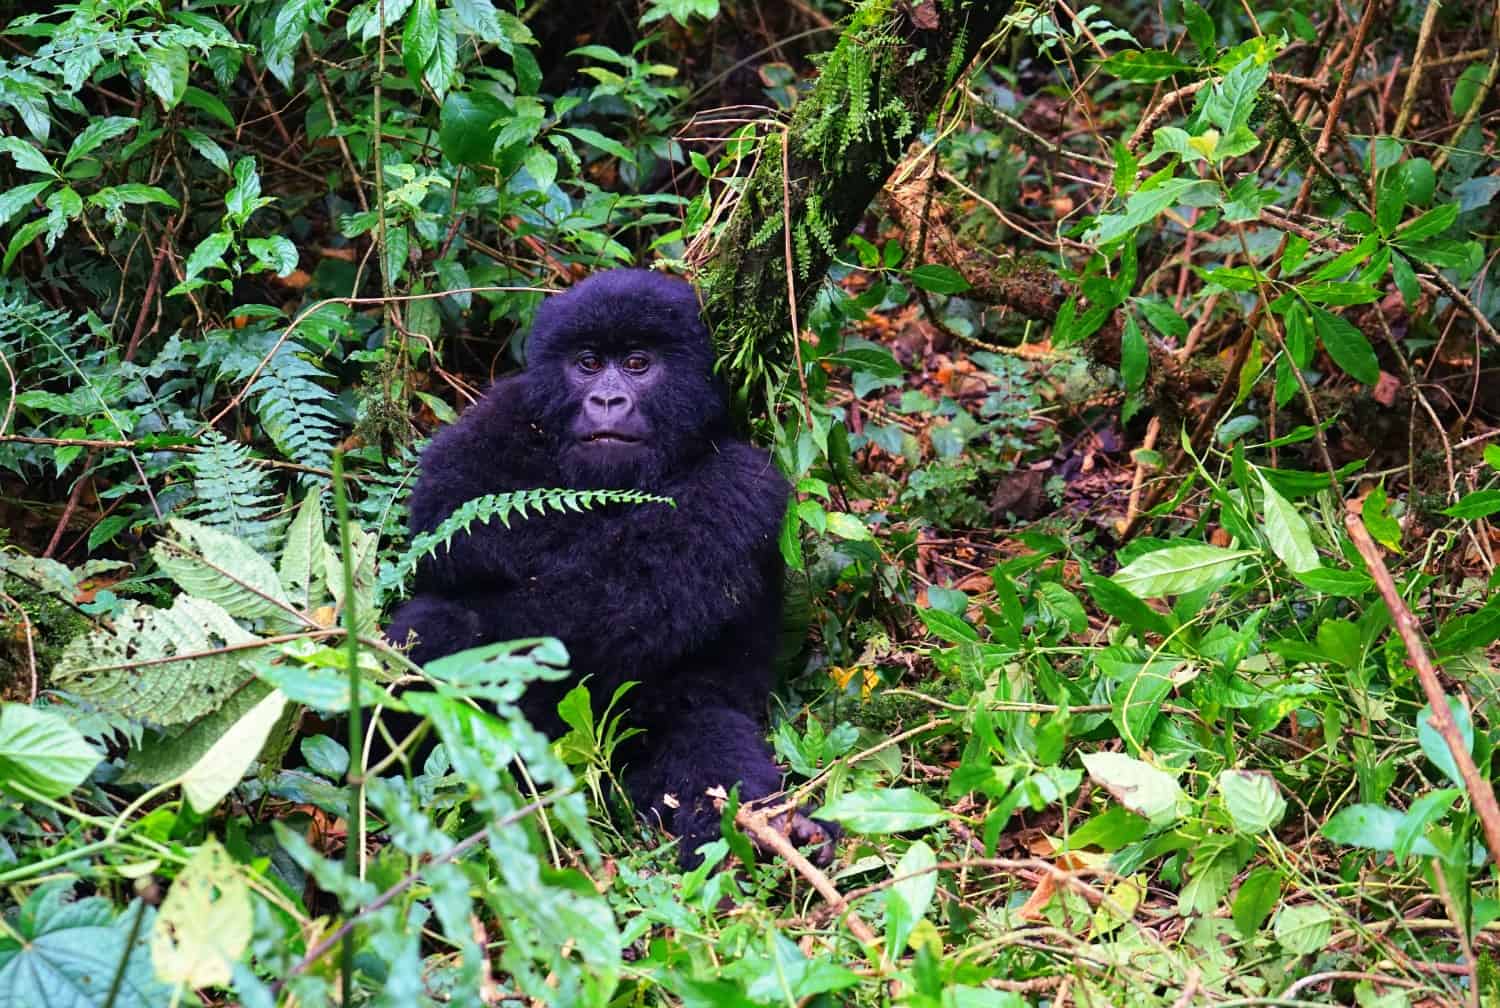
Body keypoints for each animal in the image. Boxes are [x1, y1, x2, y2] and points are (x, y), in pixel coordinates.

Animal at [387, 267, 840, 864]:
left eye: (637, 363)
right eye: (587, 362)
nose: (606, 398)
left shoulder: (748, 478)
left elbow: (608, 602)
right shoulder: (498, 417)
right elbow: (453, 530)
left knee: (703, 731)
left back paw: (775, 834)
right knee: (432, 627)